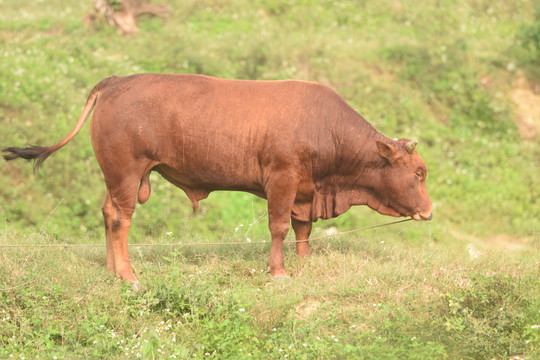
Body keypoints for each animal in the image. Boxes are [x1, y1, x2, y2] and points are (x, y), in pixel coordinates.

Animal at [1, 74, 430, 290]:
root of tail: (117, 80)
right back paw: (129, 276)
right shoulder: (283, 178)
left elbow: (302, 228)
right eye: (418, 173)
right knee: (121, 219)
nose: (429, 211)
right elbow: (279, 227)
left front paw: (307, 262)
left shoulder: (306, 189)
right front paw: (279, 272)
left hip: (117, 176)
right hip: (125, 171)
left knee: (108, 213)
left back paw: (111, 271)